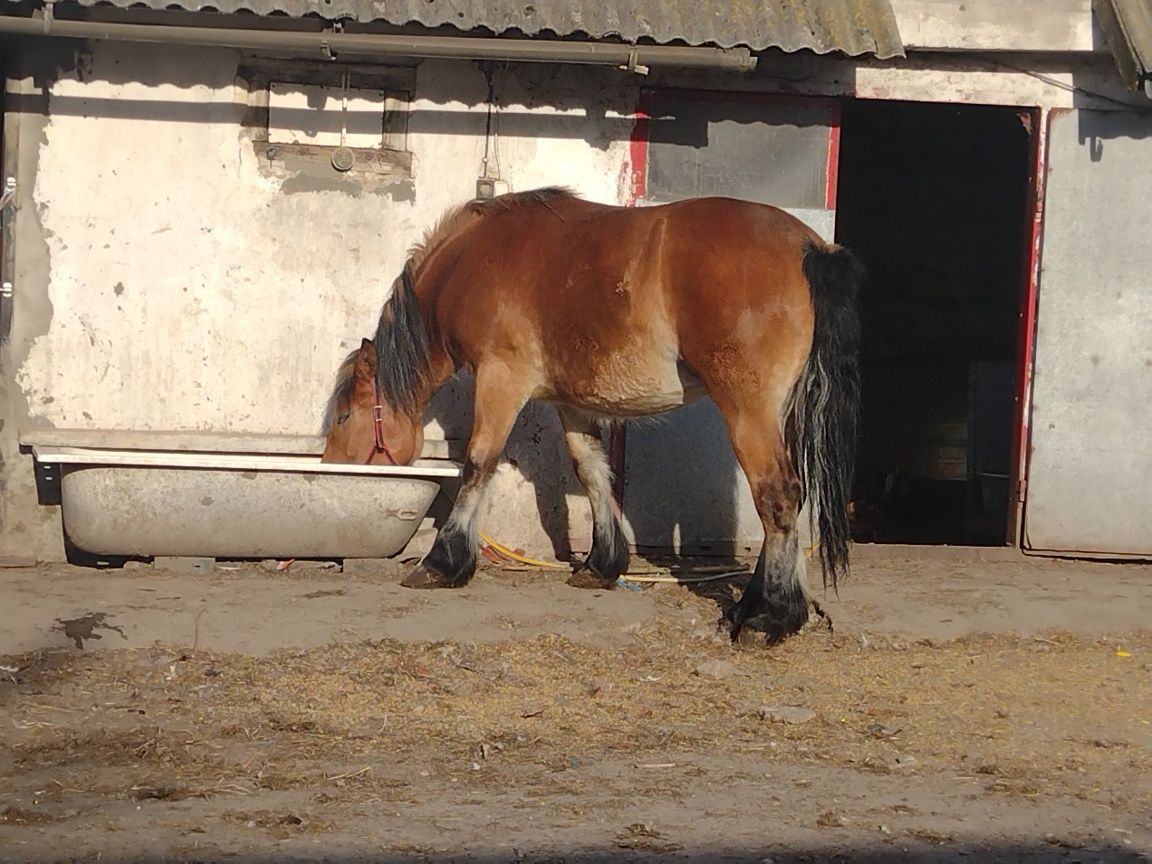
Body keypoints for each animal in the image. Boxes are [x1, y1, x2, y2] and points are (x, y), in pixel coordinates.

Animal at [320, 191, 861, 645]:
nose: (332, 469)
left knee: (777, 496)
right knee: (790, 499)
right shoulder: (571, 402)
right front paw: (602, 564)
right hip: (780, 413)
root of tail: (809, 246)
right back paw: (766, 607)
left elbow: (477, 464)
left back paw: (769, 617)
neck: (471, 262)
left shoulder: (501, 379)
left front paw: (442, 562)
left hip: (748, 410)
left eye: (344, 415)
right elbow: (593, 471)